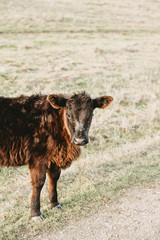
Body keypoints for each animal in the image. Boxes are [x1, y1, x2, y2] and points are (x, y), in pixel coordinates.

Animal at [0, 91, 113, 219]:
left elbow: (54, 178)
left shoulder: (54, 157)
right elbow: (38, 182)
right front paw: (36, 213)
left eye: (91, 116)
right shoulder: (37, 157)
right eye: (68, 115)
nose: (79, 140)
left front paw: (55, 204)